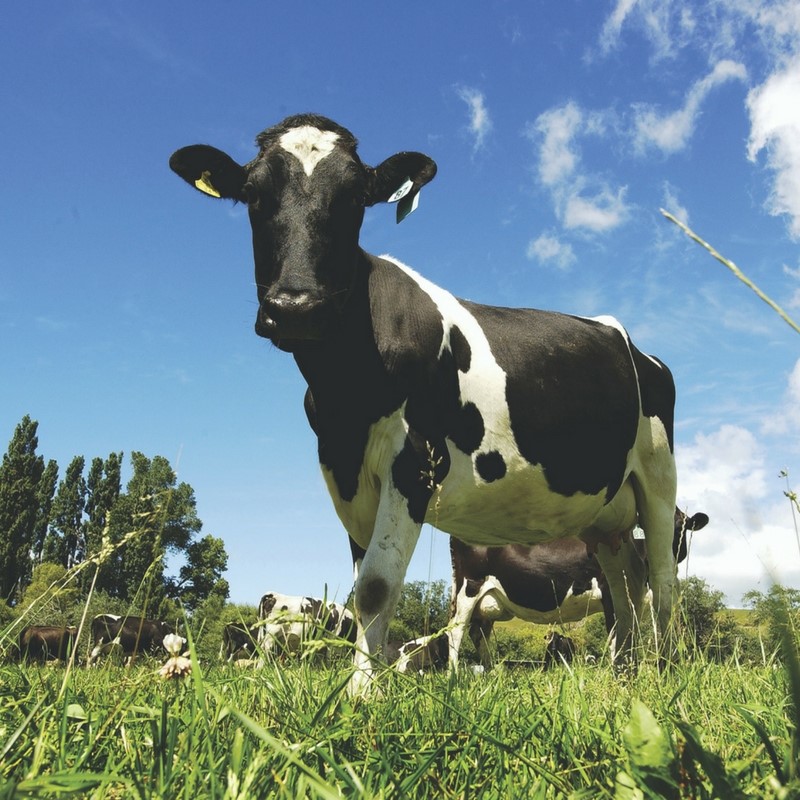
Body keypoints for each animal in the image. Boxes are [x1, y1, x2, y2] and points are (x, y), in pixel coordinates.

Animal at [172, 112, 680, 692]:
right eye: (254, 193)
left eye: (355, 197)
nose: (297, 306)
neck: (345, 389)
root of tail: (629, 342)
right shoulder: (345, 475)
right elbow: (366, 583)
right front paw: (367, 680)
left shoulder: (414, 462)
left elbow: (374, 585)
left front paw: (361, 692)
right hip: (605, 514)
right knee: (626, 583)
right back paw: (627, 673)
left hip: (658, 478)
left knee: (661, 578)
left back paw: (666, 670)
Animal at [446, 506, 708, 668]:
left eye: (682, 526)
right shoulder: (611, 595)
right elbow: (616, 640)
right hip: (469, 588)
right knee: (456, 631)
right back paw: (454, 677)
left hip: (488, 602)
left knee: (478, 633)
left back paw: (491, 674)